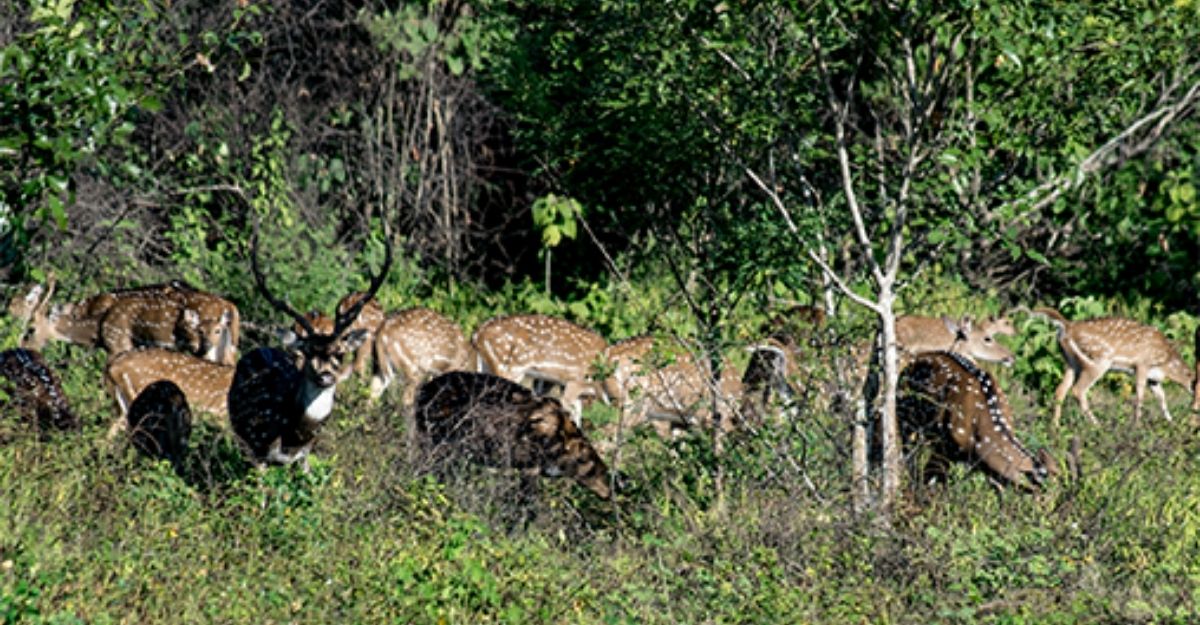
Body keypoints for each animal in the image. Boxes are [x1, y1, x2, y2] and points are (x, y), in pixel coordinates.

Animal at [225, 221, 393, 465]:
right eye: (308, 352)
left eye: (340, 353)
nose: (326, 376)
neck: (295, 436)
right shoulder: (260, 449)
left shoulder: (306, 455)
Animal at [897, 350, 1056, 487]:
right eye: (1037, 483)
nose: (1051, 500)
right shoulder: (944, 443)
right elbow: (931, 478)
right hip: (905, 413)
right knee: (907, 452)